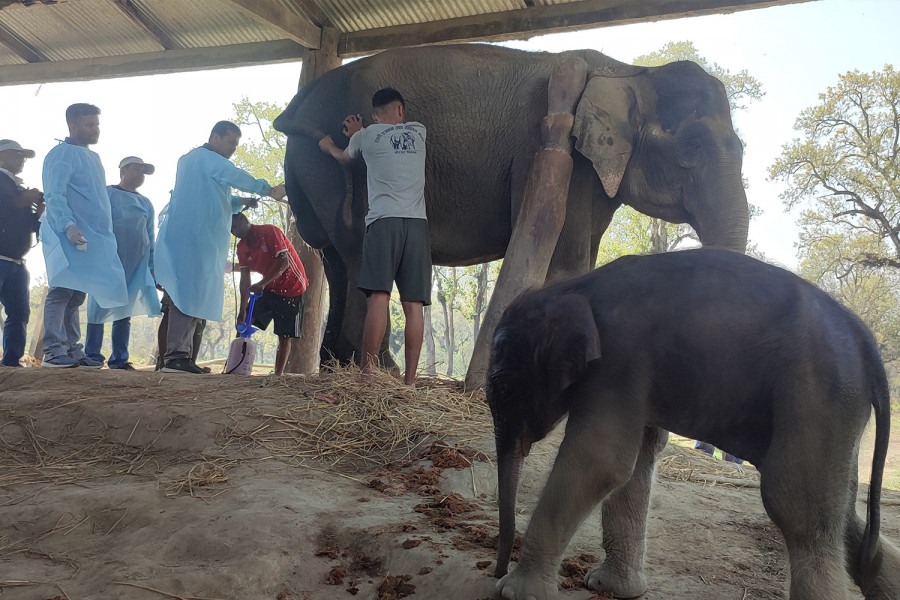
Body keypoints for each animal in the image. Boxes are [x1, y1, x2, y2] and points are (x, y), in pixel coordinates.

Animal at [270, 44, 748, 378]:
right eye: (693, 144)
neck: (625, 70)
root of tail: (298, 103)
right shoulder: (557, 154)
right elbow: (567, 263)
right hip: (329, 169)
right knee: (356, 253)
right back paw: (373, 369)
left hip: (309, 170)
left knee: (333, 257)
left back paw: (335, 365)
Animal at [488, 247, 896, 596]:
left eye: (505, 389)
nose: (495, 568)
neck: (575, 287)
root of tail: (867, 344)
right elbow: (636, 461)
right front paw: (610, 587)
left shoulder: (618, 359)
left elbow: (599, 459)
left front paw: (512, 592)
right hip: (839, 409)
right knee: (845, 519)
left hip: (818, 394)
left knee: (798, 509)